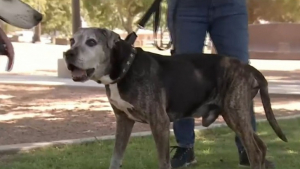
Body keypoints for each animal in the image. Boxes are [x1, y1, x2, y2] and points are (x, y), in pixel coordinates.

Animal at [63, 27, 288, 169]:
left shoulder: (159, 123)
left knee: (255, 151)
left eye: (91, 42)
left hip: (235, 112)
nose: (67, 54)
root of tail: (246, 67)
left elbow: (163, 162)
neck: (125, 68)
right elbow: (116, 158)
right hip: (234, 116)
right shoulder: (124, 121)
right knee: (261, 146)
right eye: (72, 41)